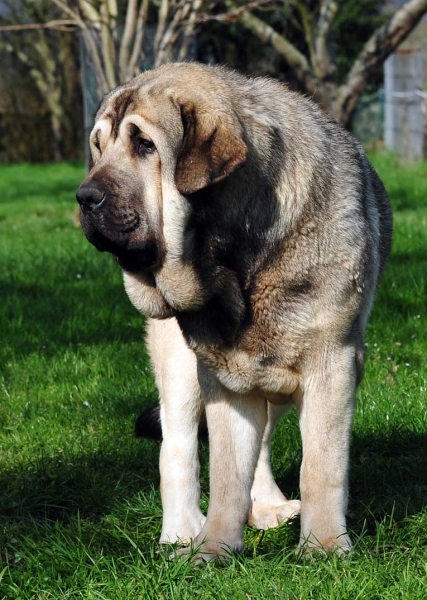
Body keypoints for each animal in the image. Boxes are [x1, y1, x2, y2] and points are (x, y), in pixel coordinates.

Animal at [76, 63, 392, 560]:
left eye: (145, 145)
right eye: (99, 146)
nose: (85, 197)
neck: (239, 259)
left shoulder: (332, 366)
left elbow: (320, 466)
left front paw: (322, 547)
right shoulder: (219, 376)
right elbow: (225, 475)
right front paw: (213, 550)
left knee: (261, 444)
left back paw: (269, 508)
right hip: (181, 371)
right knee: (178, 447)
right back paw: (182, 533)